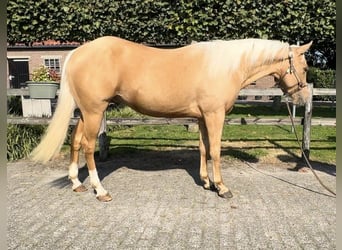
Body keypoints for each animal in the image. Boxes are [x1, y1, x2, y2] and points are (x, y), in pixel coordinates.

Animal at [32, 36, 312, 201]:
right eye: (306, 67)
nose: (304, 97)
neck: (224, 66)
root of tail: (78, 52)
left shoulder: (202, 117)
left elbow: (203, 148)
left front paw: (207, 182)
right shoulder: (215, 115)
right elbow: (216, 150)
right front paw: (222, 187)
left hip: (84, 111)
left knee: (76, 141)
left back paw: (76, 184)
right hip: (94, 111)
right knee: (89, 147)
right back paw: (100, 190)